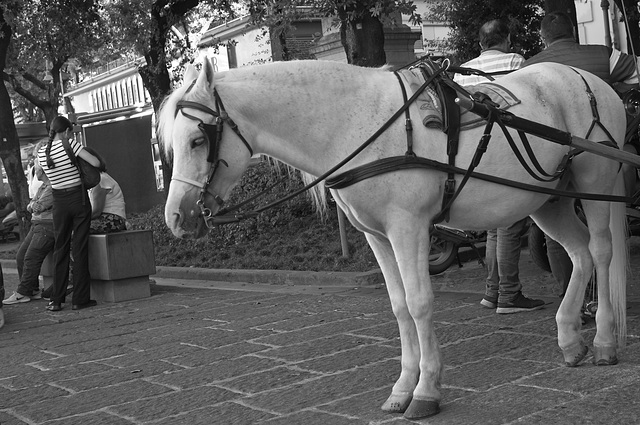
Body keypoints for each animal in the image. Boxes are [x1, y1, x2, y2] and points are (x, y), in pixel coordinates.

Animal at [158, 58, 628, 420]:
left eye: (197, 139)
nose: (176, 218)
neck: (354, 124)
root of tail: (590, 79)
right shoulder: (378, 238)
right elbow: (400, 306)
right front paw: (403, 387)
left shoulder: (408, 228)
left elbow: (419, 303)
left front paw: (426, 391)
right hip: (547, 198)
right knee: (579, 253)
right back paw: (570, 339)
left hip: (595, 182)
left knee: (602, 251)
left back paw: (604, 340)